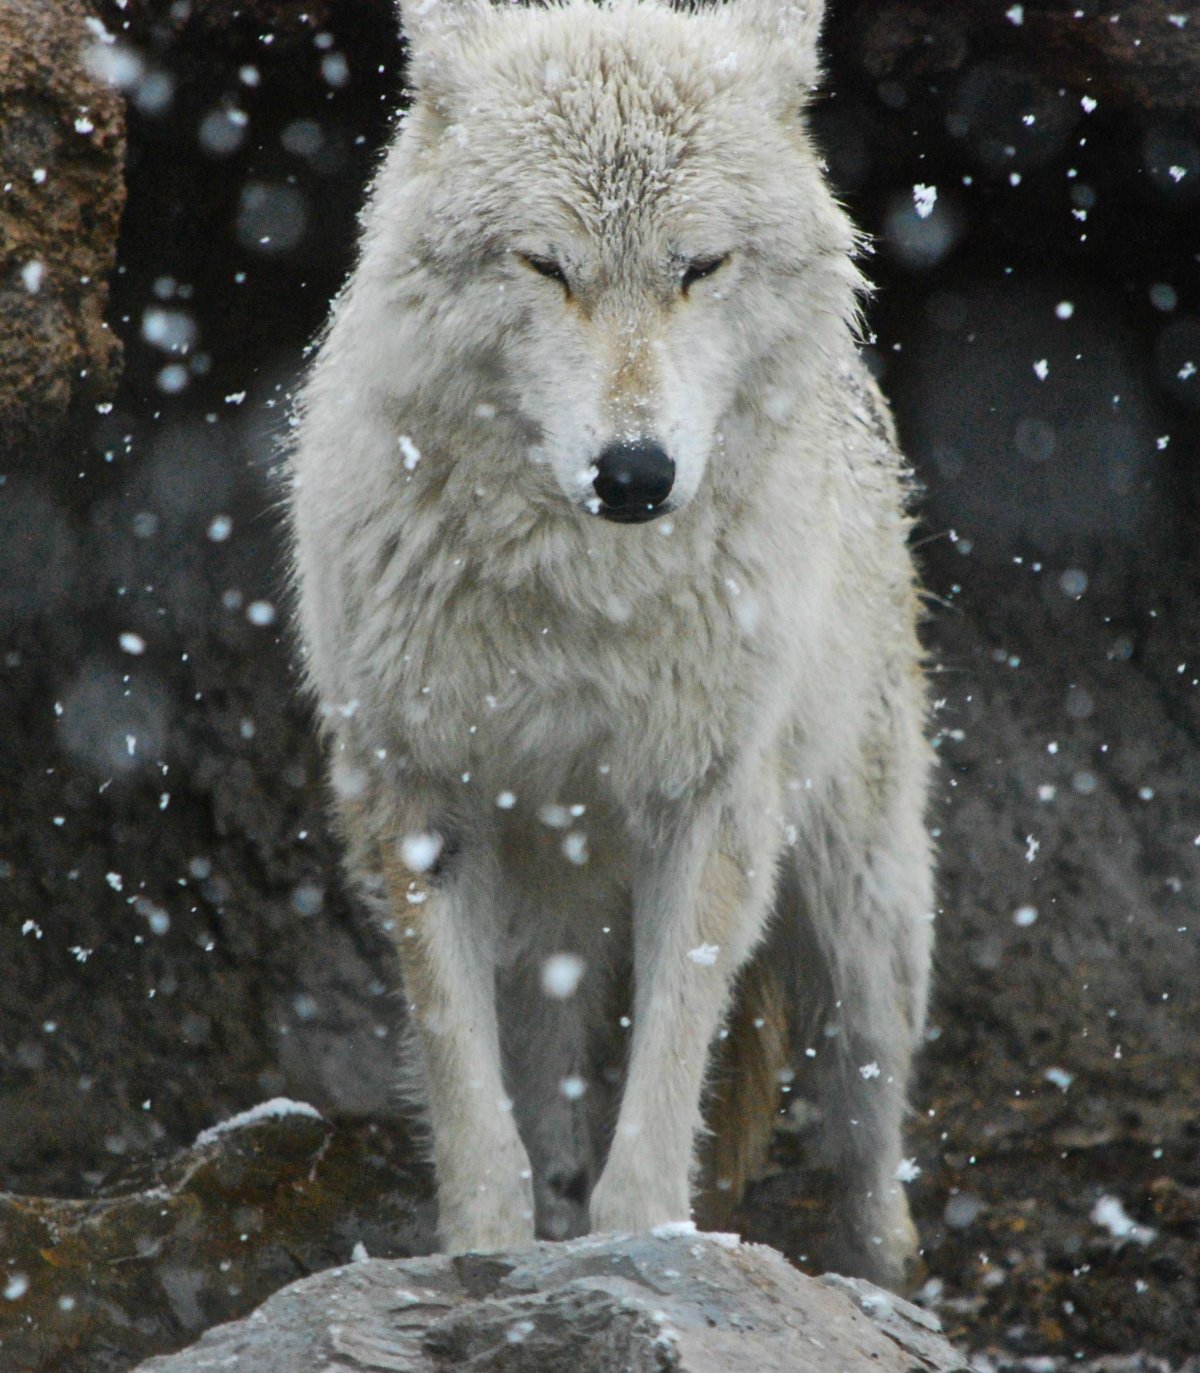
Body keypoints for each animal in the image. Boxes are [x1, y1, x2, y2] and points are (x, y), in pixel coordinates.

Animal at [288, 0, 934, 1289]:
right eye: (548, 265)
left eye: (699, 267)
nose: (634, 474)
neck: (579, 600)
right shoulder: (423, 805)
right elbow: (475, 1114)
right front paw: (486, 1263)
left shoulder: (711, 808)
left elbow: (657, 1117)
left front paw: (651, 1254)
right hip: (548, 919)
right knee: (548, 1087)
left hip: (865, 914)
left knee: (872, 1143)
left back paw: (882, 1281)